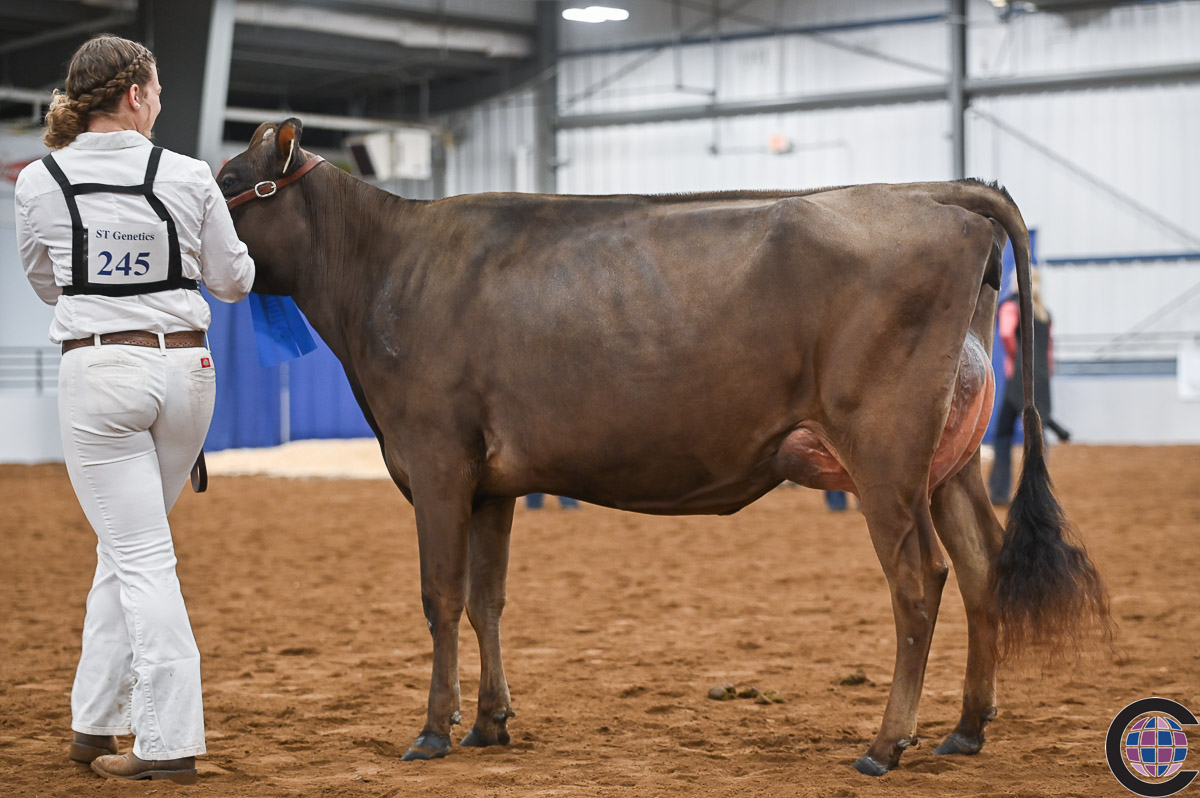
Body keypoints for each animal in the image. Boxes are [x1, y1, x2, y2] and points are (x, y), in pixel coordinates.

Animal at [216, 120, 1104, 777]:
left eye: (227, 182)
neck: (383, 269)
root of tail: (934, 194)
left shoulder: (434, 461)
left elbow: (439, 597)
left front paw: (433, 731)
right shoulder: (491, 482)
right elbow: (486, 600)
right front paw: (492, 722)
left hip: (884, 454)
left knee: (921, 580)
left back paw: (886, 744)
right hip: (948, 462)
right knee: (984, 568)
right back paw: (966, 729)